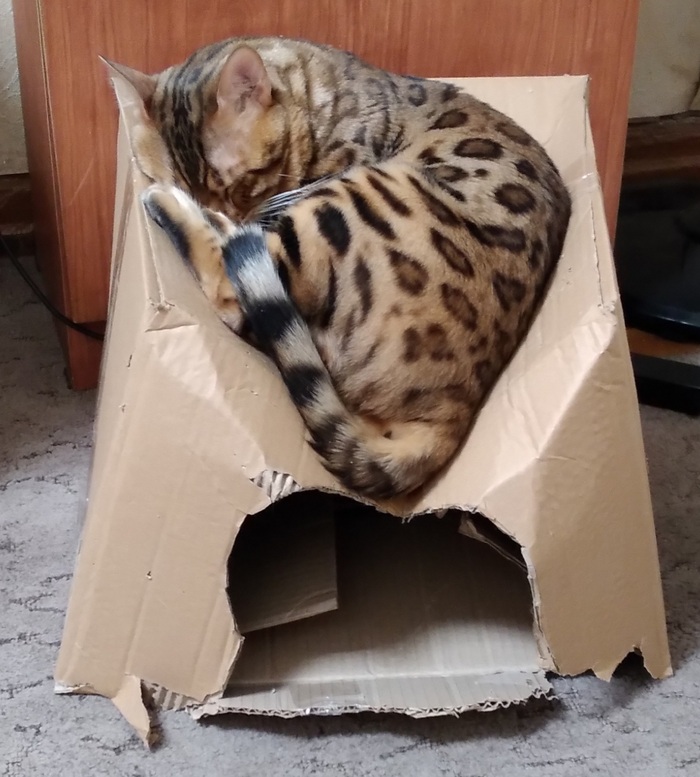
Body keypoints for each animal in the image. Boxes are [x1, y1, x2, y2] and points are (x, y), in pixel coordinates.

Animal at [106, 37, 572, 500]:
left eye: (238, 182)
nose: (213, 207)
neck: (310, 98)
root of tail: (458, 402)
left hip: (351, 203)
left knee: (230, 285)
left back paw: (170, 207)